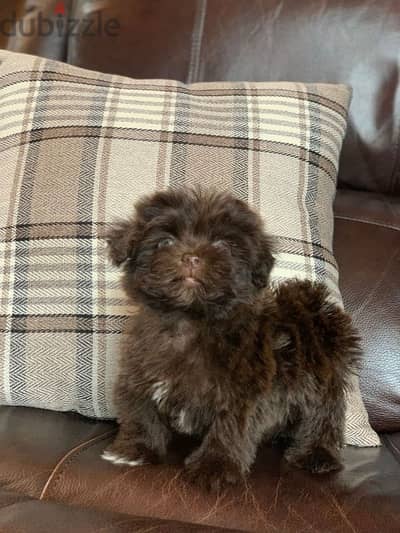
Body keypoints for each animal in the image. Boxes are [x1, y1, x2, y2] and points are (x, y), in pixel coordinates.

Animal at [102, 187, 360, 490]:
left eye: (224, 246)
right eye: (165, 240)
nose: (191, 257)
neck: (190, 319)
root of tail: (312, 312)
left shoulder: (243, 389)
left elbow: (230, 426)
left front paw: (215, 466)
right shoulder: (139, 372)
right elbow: (140, 412)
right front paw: (135, 450)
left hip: (321, 379)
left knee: (324, 415)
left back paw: (316, 455)